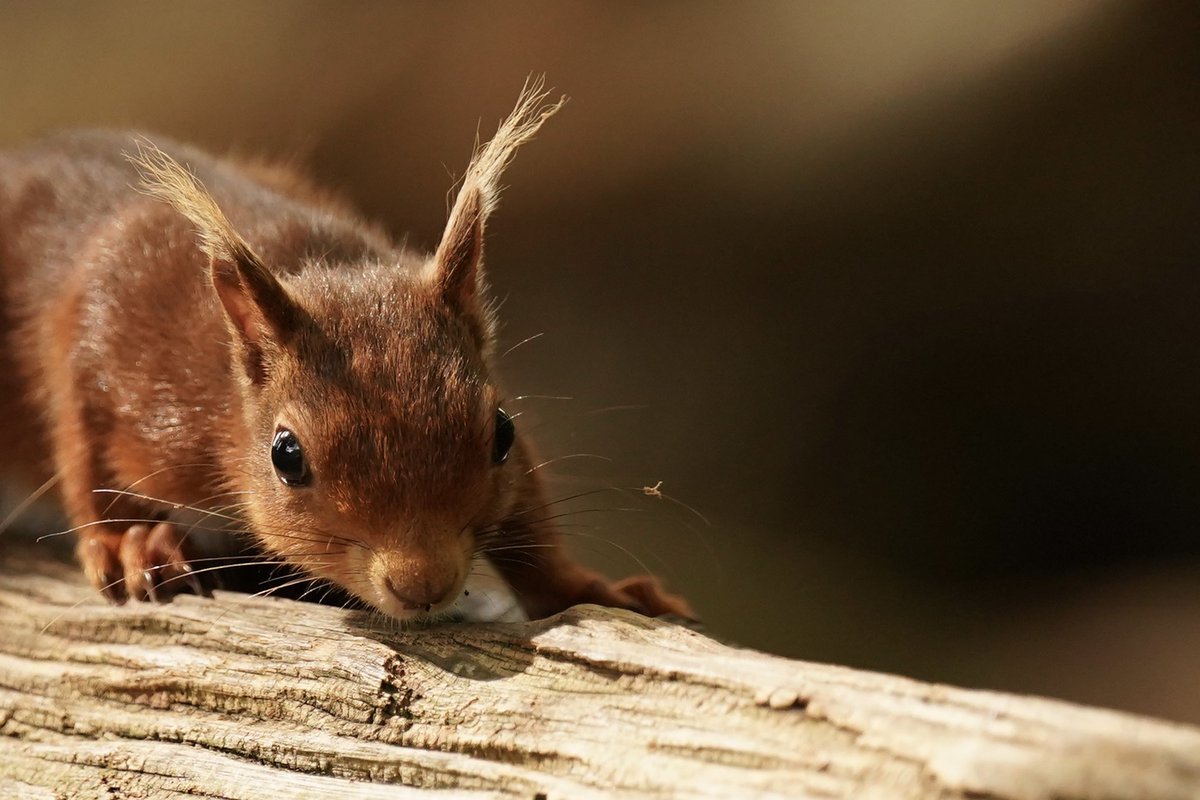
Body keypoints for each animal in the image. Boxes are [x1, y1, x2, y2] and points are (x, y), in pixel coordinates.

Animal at [0, 82, 693, 623]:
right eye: (287, 457)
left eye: (502, 431)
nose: (424, 585)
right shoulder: (109, 323)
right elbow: (85, 453)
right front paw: (129, 542)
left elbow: (529, 523)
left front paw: (592, 589)